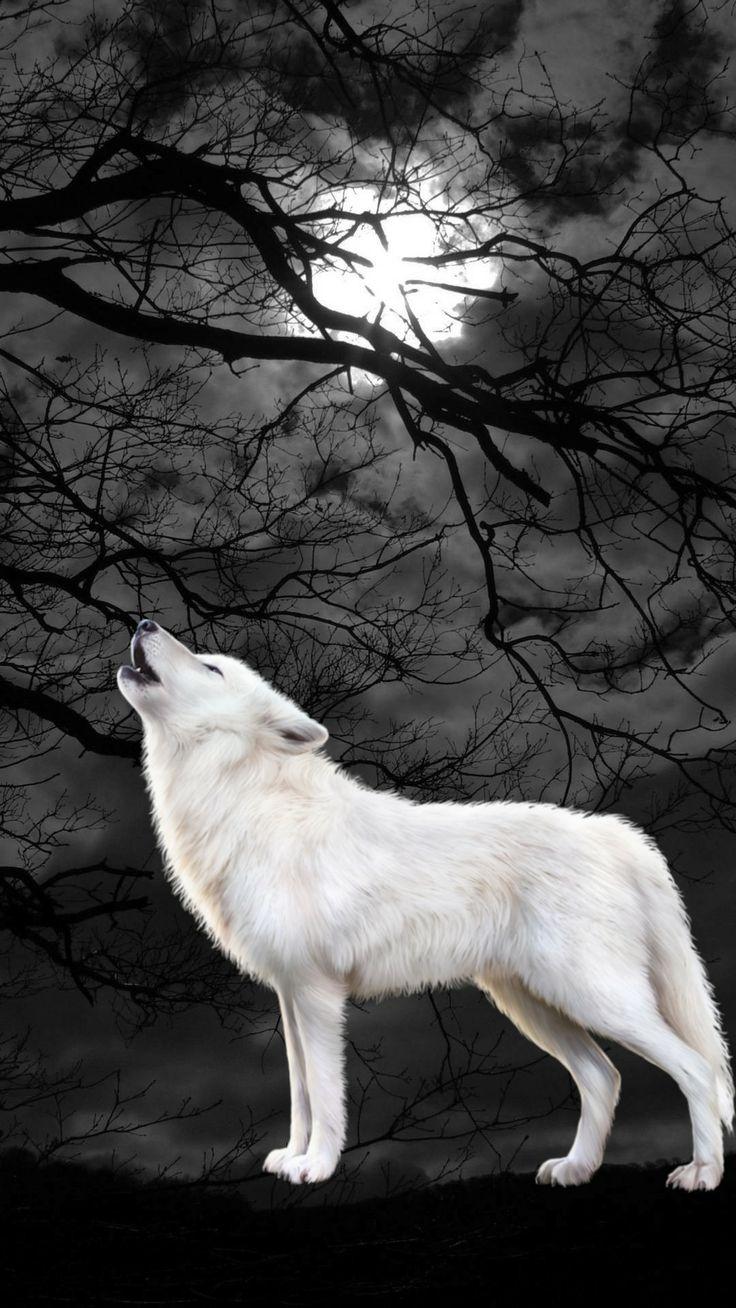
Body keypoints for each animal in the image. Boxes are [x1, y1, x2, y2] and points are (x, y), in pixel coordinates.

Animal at [117, 618, 734, 1190]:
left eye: (211, 668)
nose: (144, 622)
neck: (250, 804)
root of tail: (621, 836)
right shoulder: (288, 995)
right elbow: (299, 1093)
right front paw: (291, 1157)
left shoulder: (316, 994)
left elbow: (324, 1091)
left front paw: (315, 1167)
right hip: (533, 1003)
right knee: (605, 1077)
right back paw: (575, 1169)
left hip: (594, 998)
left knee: (696, 1068)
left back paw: (702, 1172)